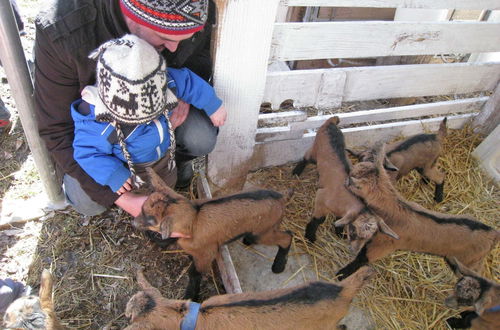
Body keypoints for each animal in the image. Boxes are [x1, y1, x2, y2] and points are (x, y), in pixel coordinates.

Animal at [135, 169, 294, 300]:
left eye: (151, 219)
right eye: (142, 208)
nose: (134, 222)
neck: (194, 219)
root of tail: (281, 197)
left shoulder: (207, 253)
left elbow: (194, 274)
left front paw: (190, 297)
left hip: (263, 232)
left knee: (287, 236)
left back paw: (278, 266)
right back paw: (248, 240)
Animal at [292, 116, 398, 248]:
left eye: (370, 238)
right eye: (354, 230)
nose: (354, 249)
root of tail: (332, 121)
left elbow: (339, 220)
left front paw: (339, 232)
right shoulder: (320, 199)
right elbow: (318, 220)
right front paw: (310, 236)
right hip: (315, 151)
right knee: (306, 158)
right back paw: (296, 171)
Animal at [334, 144, 498, 278]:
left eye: (352, 181)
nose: (342, 181)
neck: (394, 208)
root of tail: (494, 234)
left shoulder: (383, 245)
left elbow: (362, 259)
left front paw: (341, 275)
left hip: (470, 263)